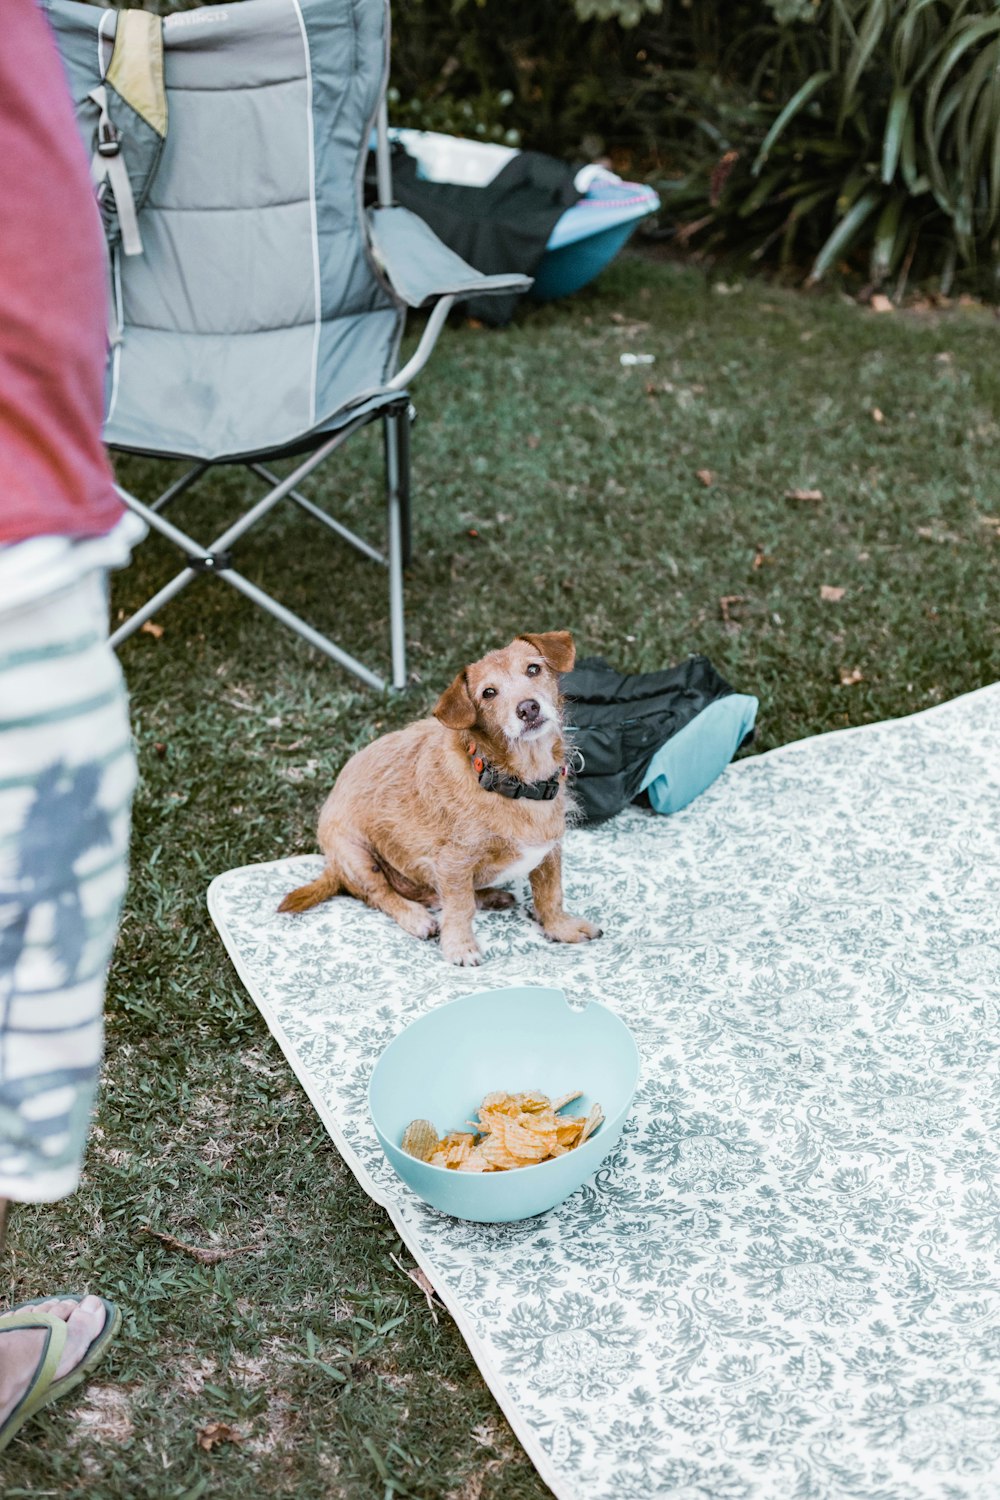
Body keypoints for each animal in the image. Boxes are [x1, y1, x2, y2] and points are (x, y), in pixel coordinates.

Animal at [277, 630, 602, 960]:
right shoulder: (452, 862)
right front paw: (460, 946)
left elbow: (550, 893)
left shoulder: (550, 850)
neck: (515, 781)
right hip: (355, 855)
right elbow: (460, 907)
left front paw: (560, 928)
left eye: (533, 669)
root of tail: (331, 865)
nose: (528, 708)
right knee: (379, 893)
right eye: (488, 693)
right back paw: (415, 916)